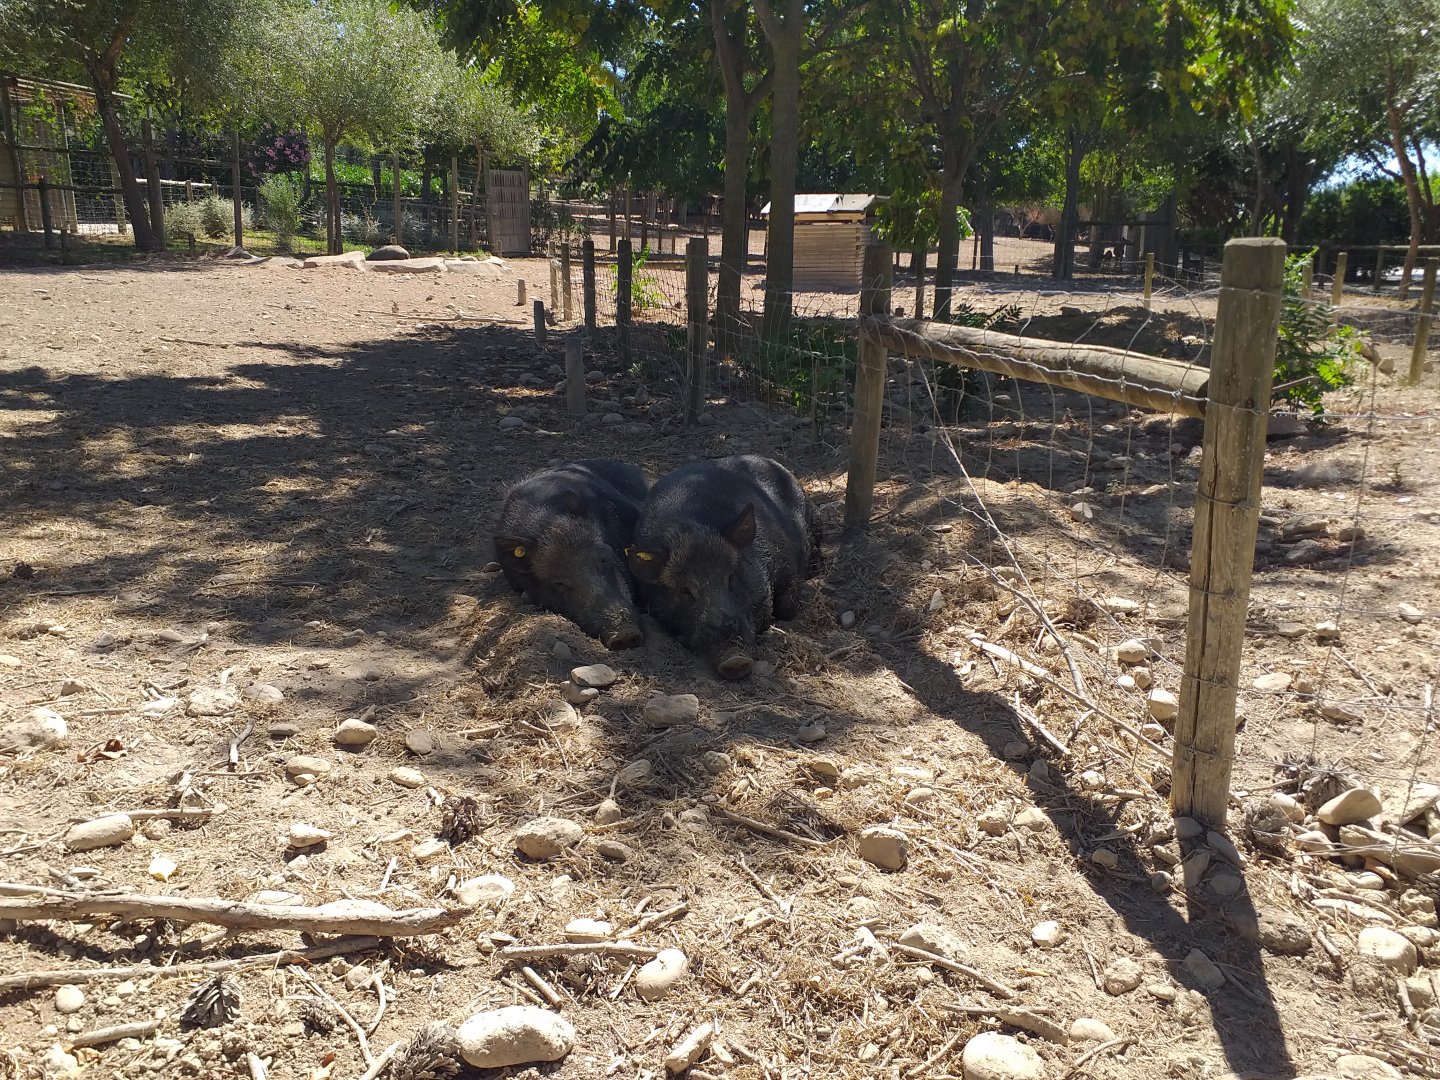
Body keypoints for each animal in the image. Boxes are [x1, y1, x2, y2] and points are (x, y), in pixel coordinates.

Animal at [626, 455, 820, 678]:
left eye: (731, 578)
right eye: (684, 591)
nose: (734, 659)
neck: (691, 530)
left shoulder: (785, 565)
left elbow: (788, 607)